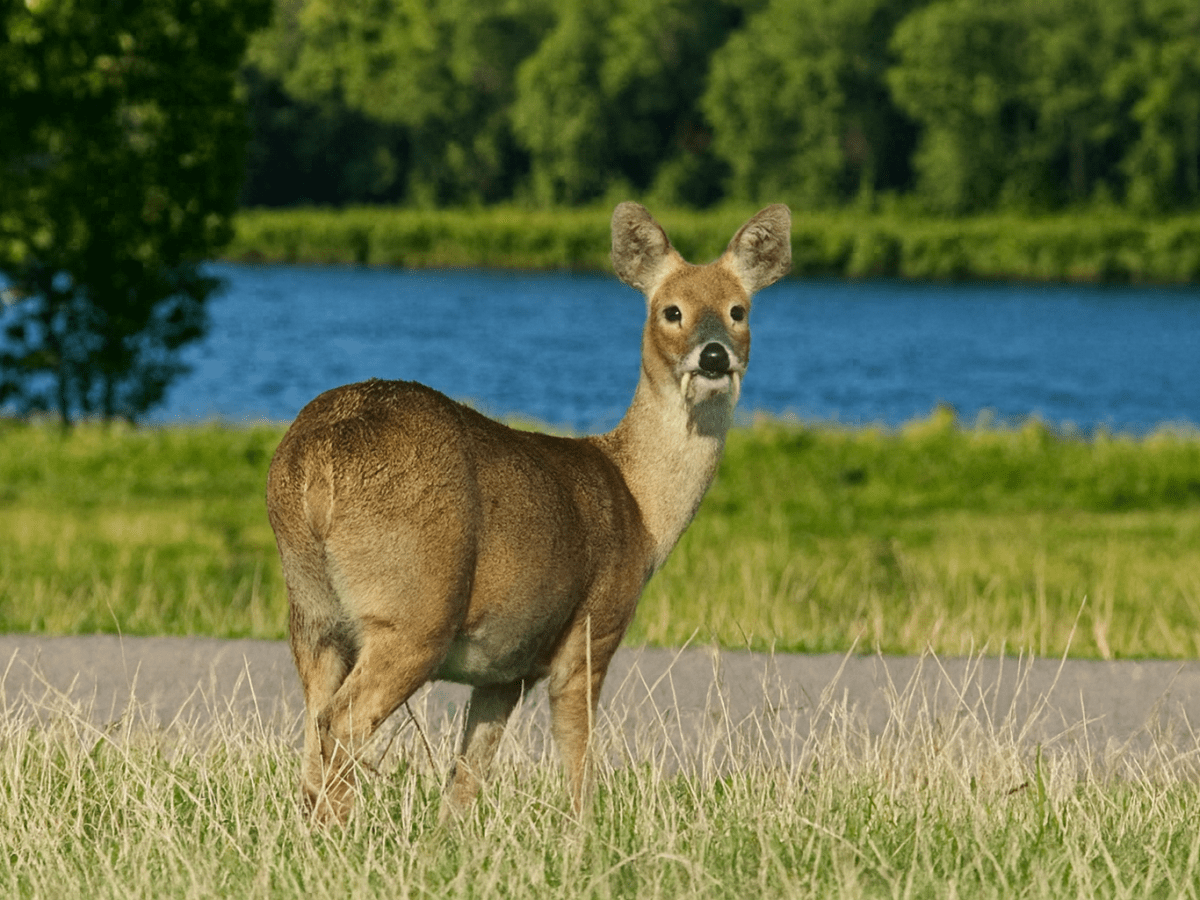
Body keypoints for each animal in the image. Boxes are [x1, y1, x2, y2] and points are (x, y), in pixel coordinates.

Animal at [266, 202, 791, 826]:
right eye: (672, 311)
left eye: (739, 310)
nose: (714, 355)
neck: (640, 506)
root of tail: (316, 461)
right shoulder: (592, 628)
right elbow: (578, 757)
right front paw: (583, 835)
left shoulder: (507, 666)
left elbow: (466, 778)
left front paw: (450, 840)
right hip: (414, 609)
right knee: (343, 721)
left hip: (311, 611)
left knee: (311, 727)